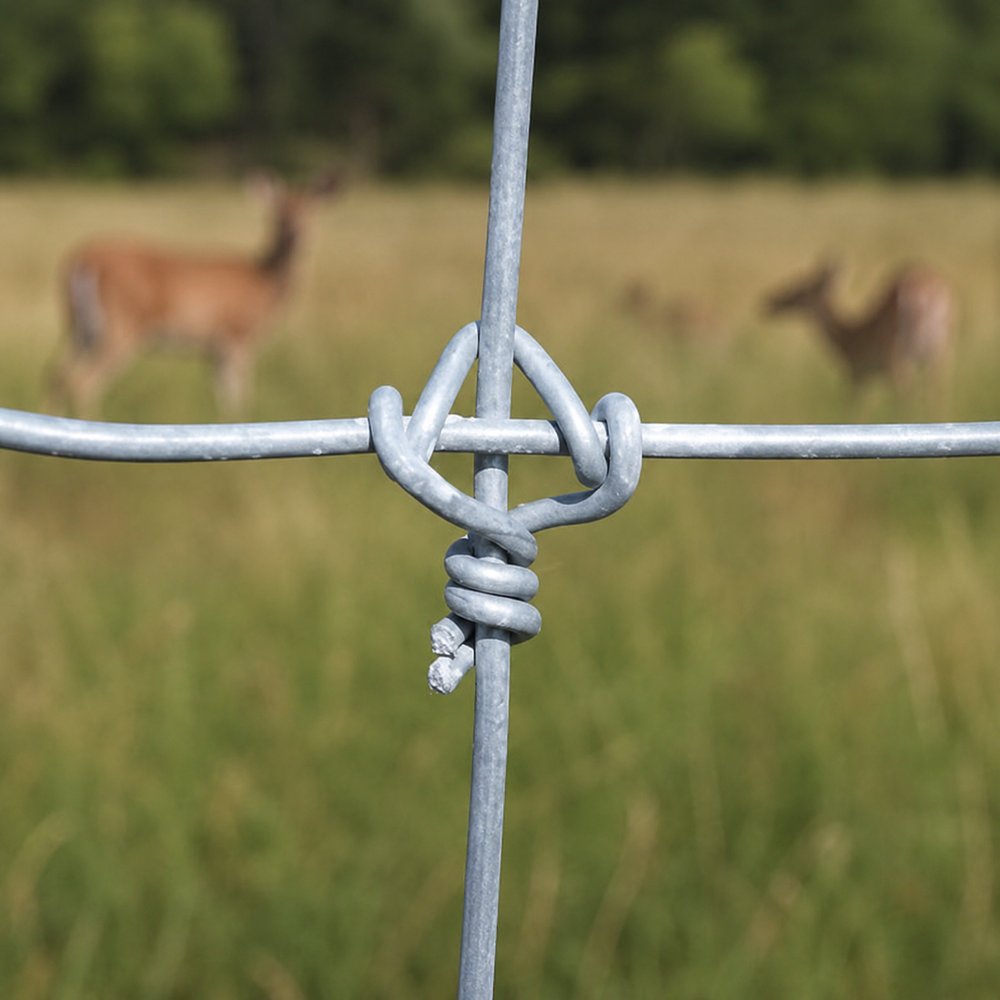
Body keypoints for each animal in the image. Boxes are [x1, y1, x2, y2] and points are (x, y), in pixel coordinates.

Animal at [49, 170, 344, 418]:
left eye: (312, 212)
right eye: (276, 216)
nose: (296, 235)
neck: (264, 283)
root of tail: (82, 260)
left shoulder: (214, 348)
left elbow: (222, 393)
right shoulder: (238, 335)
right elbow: (240, 393)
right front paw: (242, 421)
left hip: (79, 328)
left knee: (57, 376)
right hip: (121, 325)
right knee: (82, 383)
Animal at [763, 259, 955, 390]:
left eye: (799, 288)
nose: (769, 303)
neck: (850, 339)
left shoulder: (857, 373)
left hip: (898, 355)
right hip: (939, 352)